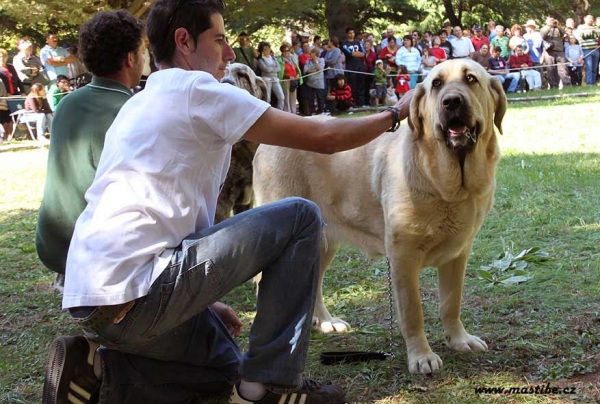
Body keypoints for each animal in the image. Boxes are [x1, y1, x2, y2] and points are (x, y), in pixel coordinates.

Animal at [252, 59, 506, 372]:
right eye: (436, 84)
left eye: (471, 79)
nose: (452, 102)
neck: (447, 186)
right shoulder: (402, 256)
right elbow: (412, 311)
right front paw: (421, 356)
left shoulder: (458, 253)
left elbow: (451, 302)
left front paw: (460, 339)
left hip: (321, 240)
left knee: (315, 284)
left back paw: (326, 321)